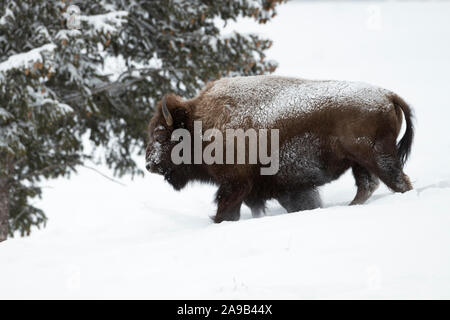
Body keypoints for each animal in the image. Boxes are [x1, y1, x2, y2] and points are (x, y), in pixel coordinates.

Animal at [146, 76, 414, 224]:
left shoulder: (235, 185)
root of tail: (388, 96)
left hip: (377, 158)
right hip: (360, 163)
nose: (150, 164)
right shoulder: (281, 189)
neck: (199, 123)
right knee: (367, 186)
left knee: (398, 183)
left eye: (160, 134)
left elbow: (225, 211)